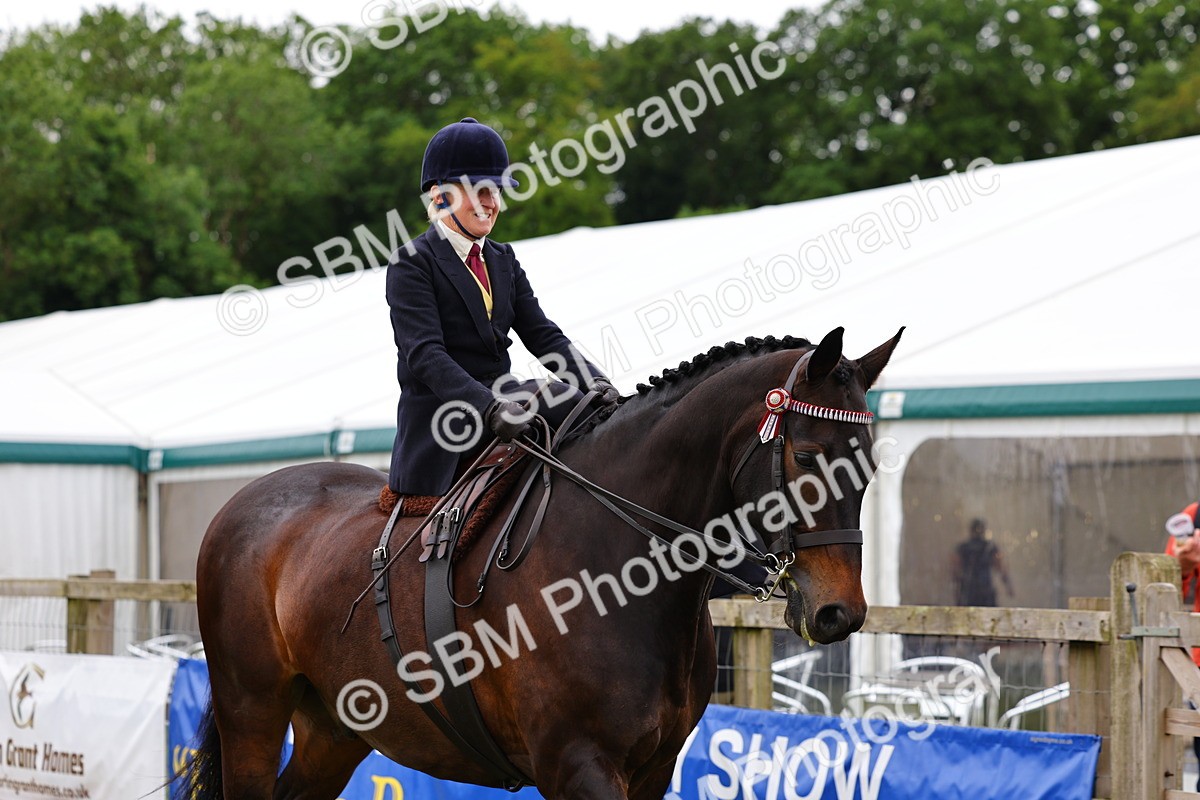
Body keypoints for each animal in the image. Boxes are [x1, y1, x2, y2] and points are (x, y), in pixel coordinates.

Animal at [180, 326, 902, 800]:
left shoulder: (653, 769)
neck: (619, 571)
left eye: (868, 460)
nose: (839, 613)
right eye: (806, 456)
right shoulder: (577, 766)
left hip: (335, 729)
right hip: (253, 715)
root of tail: (242, 503)